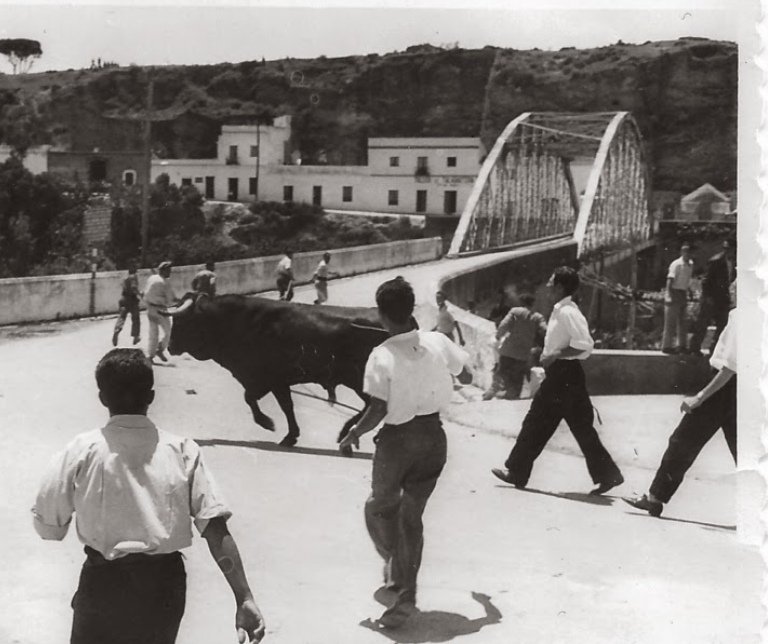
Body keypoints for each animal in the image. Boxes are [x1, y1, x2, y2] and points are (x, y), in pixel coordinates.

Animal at [165, 294, 388, 448]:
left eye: (182, 321)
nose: (170, 346)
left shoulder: (270, 380)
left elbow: (261, 401)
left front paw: (270, 425)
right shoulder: (270, 381)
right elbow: (275, 403)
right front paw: (288, 434)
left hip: (360, 381)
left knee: (373, 406)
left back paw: (347, 434)